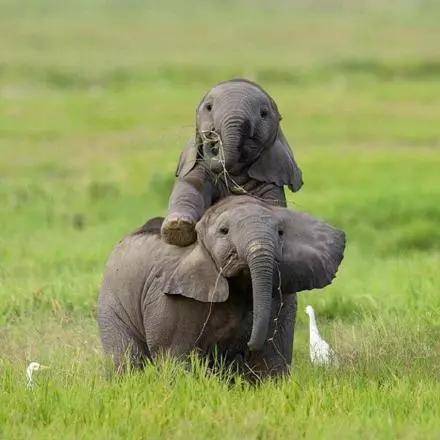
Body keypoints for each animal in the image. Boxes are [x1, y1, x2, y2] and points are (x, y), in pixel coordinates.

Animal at [98, 196, 346, 378]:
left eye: (281, 232)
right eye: (224, 231)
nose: (247, 344)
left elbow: (271, 358)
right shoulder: (170, 298)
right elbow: (175, 356)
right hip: (112, 302)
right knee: (127, 358)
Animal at [161, 79, 302, 248]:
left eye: (263, 114)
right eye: (208, 107)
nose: (211, 135)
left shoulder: (271, 176)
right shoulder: (198, 165)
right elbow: (190, 187)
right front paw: (177, 228)